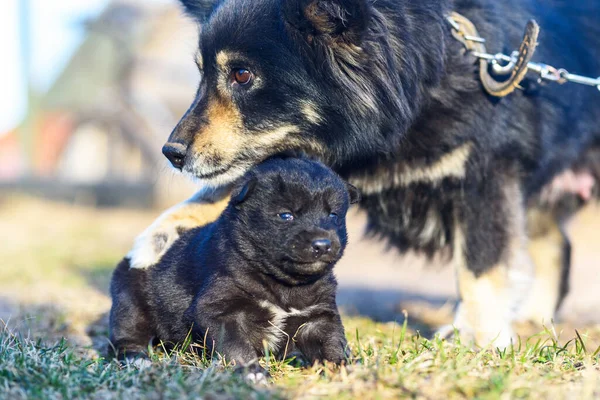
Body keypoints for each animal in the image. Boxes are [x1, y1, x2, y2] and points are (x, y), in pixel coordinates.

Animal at [108, 157, 358, 366]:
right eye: (286, 215)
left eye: (333, 215)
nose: (323, 244)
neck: (284, 285)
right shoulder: (220, 311)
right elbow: (236, 346)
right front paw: (252, 372)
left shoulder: (318, 315)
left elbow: (331, 343)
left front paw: (343, 368)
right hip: (129, 302)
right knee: (127, 336)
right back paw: (137, 358)